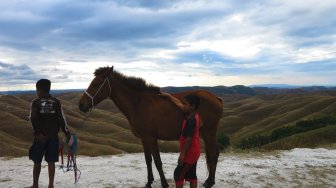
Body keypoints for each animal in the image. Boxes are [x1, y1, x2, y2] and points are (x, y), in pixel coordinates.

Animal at [79, 66, 223, 187]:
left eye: (96, 83)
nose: (81, 105)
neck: (137, 103)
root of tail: (216, 97)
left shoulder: (149, 137)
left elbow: (155, 161)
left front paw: (161, 183)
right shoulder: (146, 138)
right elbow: (150, 160)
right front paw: (151, 182)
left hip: (210, 132)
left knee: (214, 153)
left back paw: (210, 182)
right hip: (204, 133)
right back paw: (210, 180)